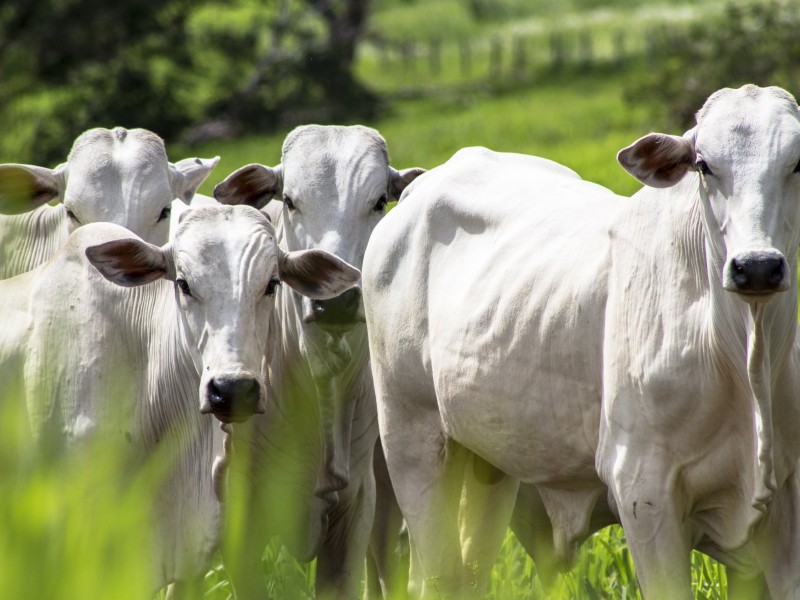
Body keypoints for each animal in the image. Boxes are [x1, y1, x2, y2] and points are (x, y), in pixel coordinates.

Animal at [366, 85, 800, 600]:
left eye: (797, 163)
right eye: (703, 164)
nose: (757, 267)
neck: (743, 356)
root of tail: (423, 185)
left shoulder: (785, 507)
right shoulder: (644, 493)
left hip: (489, 461)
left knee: (468, 573)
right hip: (411, 438)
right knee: (435, 572)